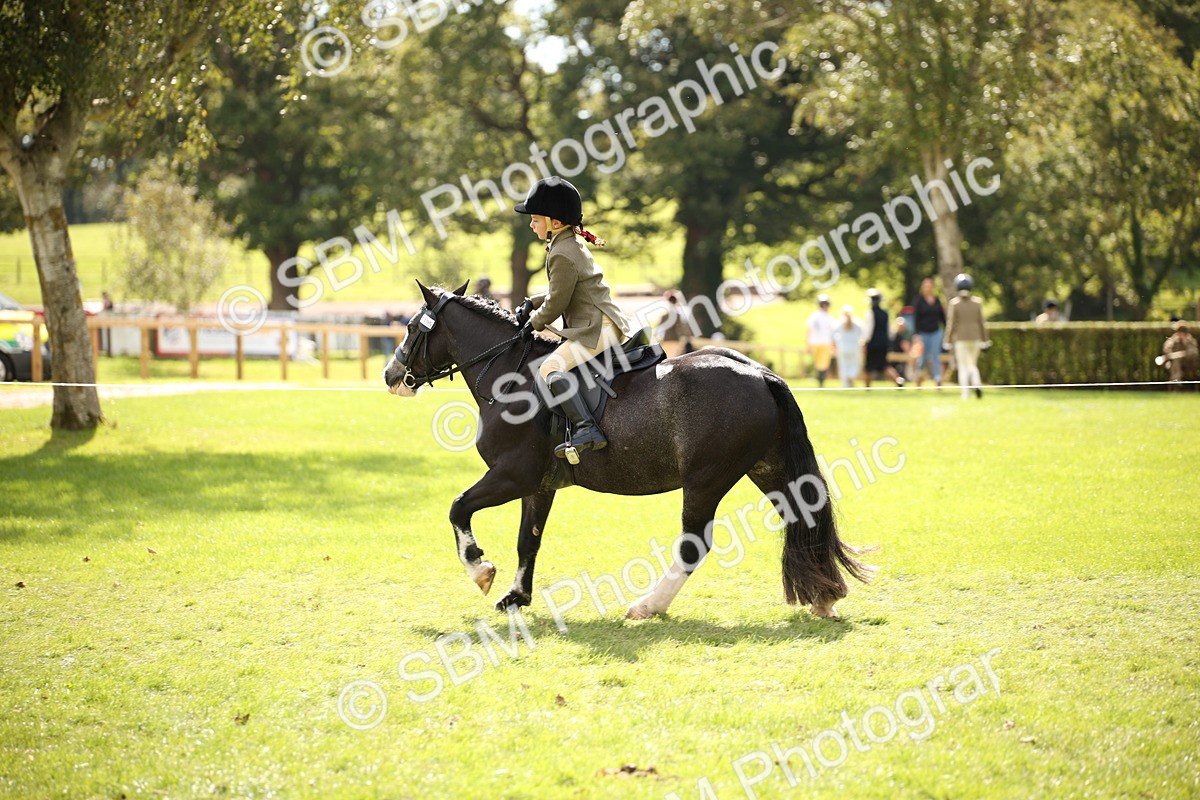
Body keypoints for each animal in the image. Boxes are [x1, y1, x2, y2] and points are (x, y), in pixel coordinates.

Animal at [383, 281, 873, 620]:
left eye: (409, 327)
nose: (391, 375)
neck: (510, 375)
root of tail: (760, 374)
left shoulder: (511, 475)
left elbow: (458, 508)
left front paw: (481, 571)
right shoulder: (538, 486)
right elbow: (528, 541)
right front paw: (516, 596)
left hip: (706, 480)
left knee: (693, 544)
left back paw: (647, 606)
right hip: (767, 468)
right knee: (801, 515)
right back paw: (823, 598)